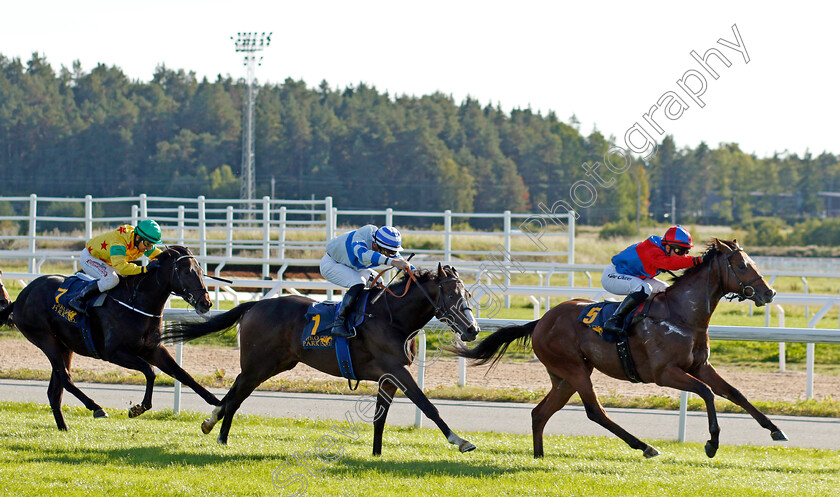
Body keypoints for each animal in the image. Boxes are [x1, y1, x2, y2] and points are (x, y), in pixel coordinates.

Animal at [0, 242, 220, 428]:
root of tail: (21, 297)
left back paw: (64, 427)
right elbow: (150, 371)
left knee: (56, 389)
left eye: (201, 271)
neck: (136, 302)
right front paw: (138, 408)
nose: (206, 303)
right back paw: (96, 408)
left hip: (65, 346)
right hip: (46, 339)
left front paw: (219, 405)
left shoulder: (153, 349)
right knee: (66, 379)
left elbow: (183, 375)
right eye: (186, 271)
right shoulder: (114, 353)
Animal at [164, 264, 480, 454]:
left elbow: (380, 418)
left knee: (235, 392)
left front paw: (376, 455)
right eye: (451, 294)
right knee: (236, 395)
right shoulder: (397, 370)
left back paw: (213, 425)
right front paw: (461, 441)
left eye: (467, 293)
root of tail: (254, 305)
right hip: (259, 365)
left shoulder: (388, 378)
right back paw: (220, 434)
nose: (473, 330)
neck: (393, 318)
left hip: (274, 364)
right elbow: (427, 406)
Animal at [452, 238, 788, 460]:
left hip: (565, 377)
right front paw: (712, 443)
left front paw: (775, 429)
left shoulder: (699, 366)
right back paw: (645, 446)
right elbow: (706, 393)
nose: (769, 293)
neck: (682, 315)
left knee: (540, 412)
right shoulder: (665, 373)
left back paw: (539, 457)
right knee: (595, 411)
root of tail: (541, 321)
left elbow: (734, 393)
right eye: (742, 265)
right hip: (575, 370)